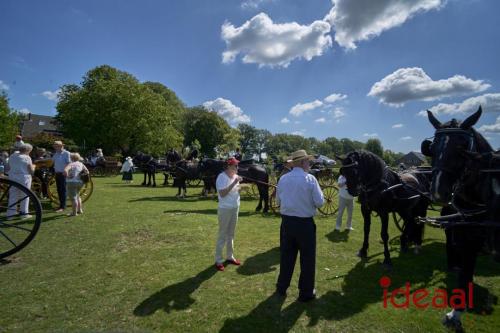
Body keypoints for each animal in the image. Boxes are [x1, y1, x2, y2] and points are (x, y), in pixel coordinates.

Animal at [420, 105, 498, 326]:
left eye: (463, 147)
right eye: (432, 147)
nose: (438, 191)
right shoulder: (467, 238)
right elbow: (465, 273)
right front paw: (456, 312)